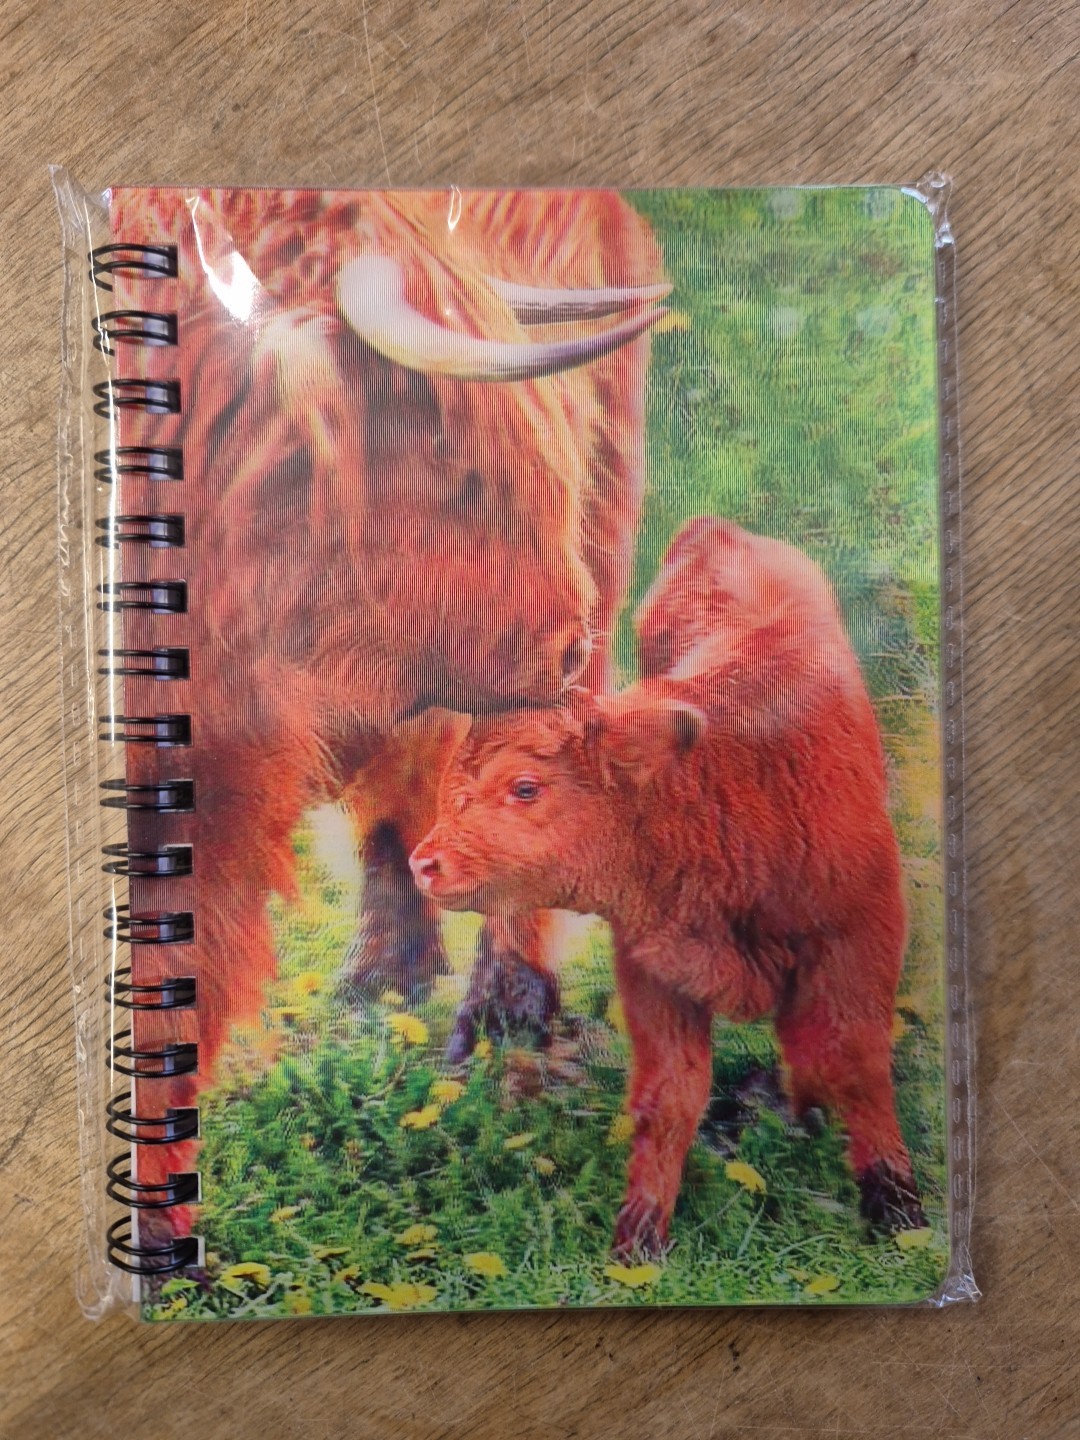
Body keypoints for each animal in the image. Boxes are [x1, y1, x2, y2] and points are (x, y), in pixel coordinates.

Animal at [410, 518, 927, 1257]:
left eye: (526, 787)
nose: (426, 864)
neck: (726, 782)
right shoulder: (658, 970)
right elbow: (669, 1096)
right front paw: (640, 1239)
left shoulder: (859, 936)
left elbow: (853, 1063)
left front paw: (898, 1209)